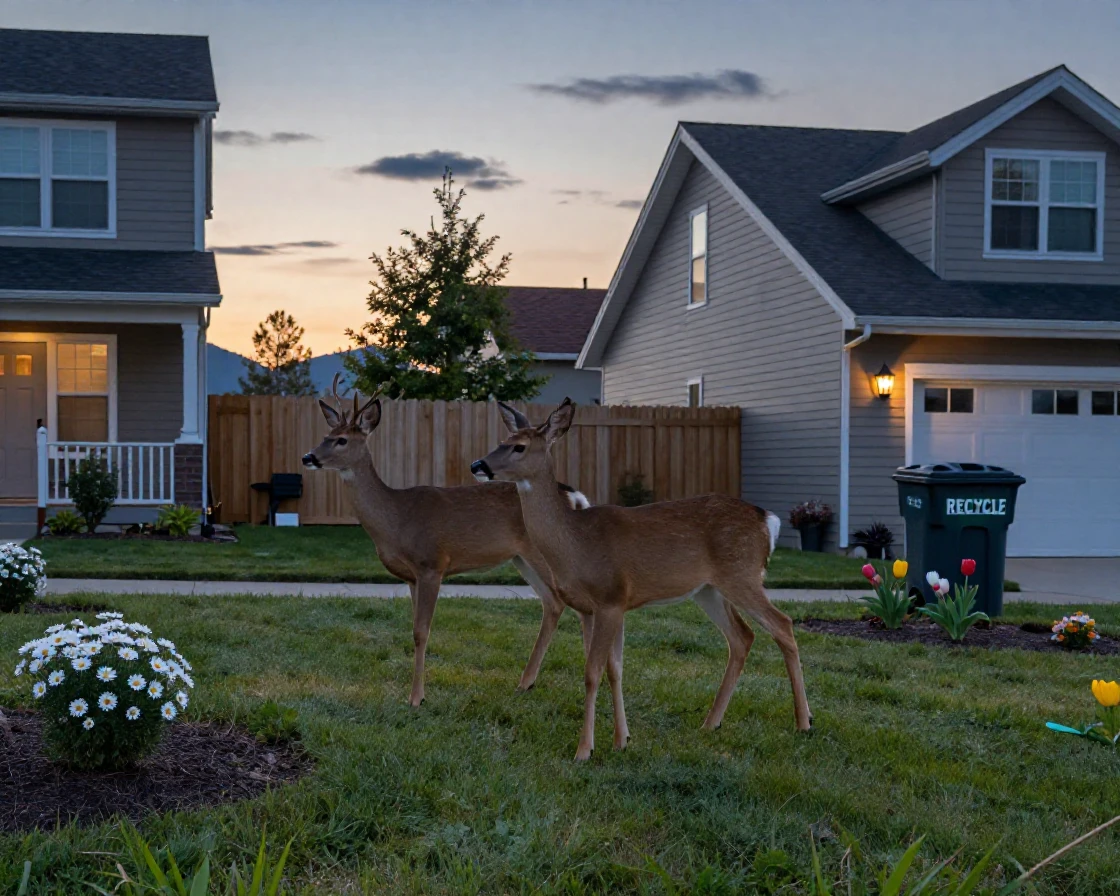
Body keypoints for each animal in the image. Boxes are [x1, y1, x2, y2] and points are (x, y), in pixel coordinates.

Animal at [301, 378, 592, 708]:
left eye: (341, 441)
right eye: (326, 436)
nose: (308, 457)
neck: (396, 518)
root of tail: (572, 495)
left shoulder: (431, 564)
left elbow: (421, 632)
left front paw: (416, 698)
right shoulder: (411, 577)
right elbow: (414, 630)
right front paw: (416, 693)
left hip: (545, 553)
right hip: (521, 557)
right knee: (552, 603)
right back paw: (525, 683)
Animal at [470, 398, 812, 761]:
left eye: (519, 446)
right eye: (501, 441)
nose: (477, 465)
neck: (574, 542)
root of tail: (767, 519)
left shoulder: (609, 598)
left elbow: (592, 673)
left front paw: (584, 750)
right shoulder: (594, 608)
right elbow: (614, 669)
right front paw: (622, 740)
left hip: (742, 575)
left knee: (783, 624)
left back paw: (804, 722)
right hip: (708, 589)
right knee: (742, 637)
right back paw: (711, 723)